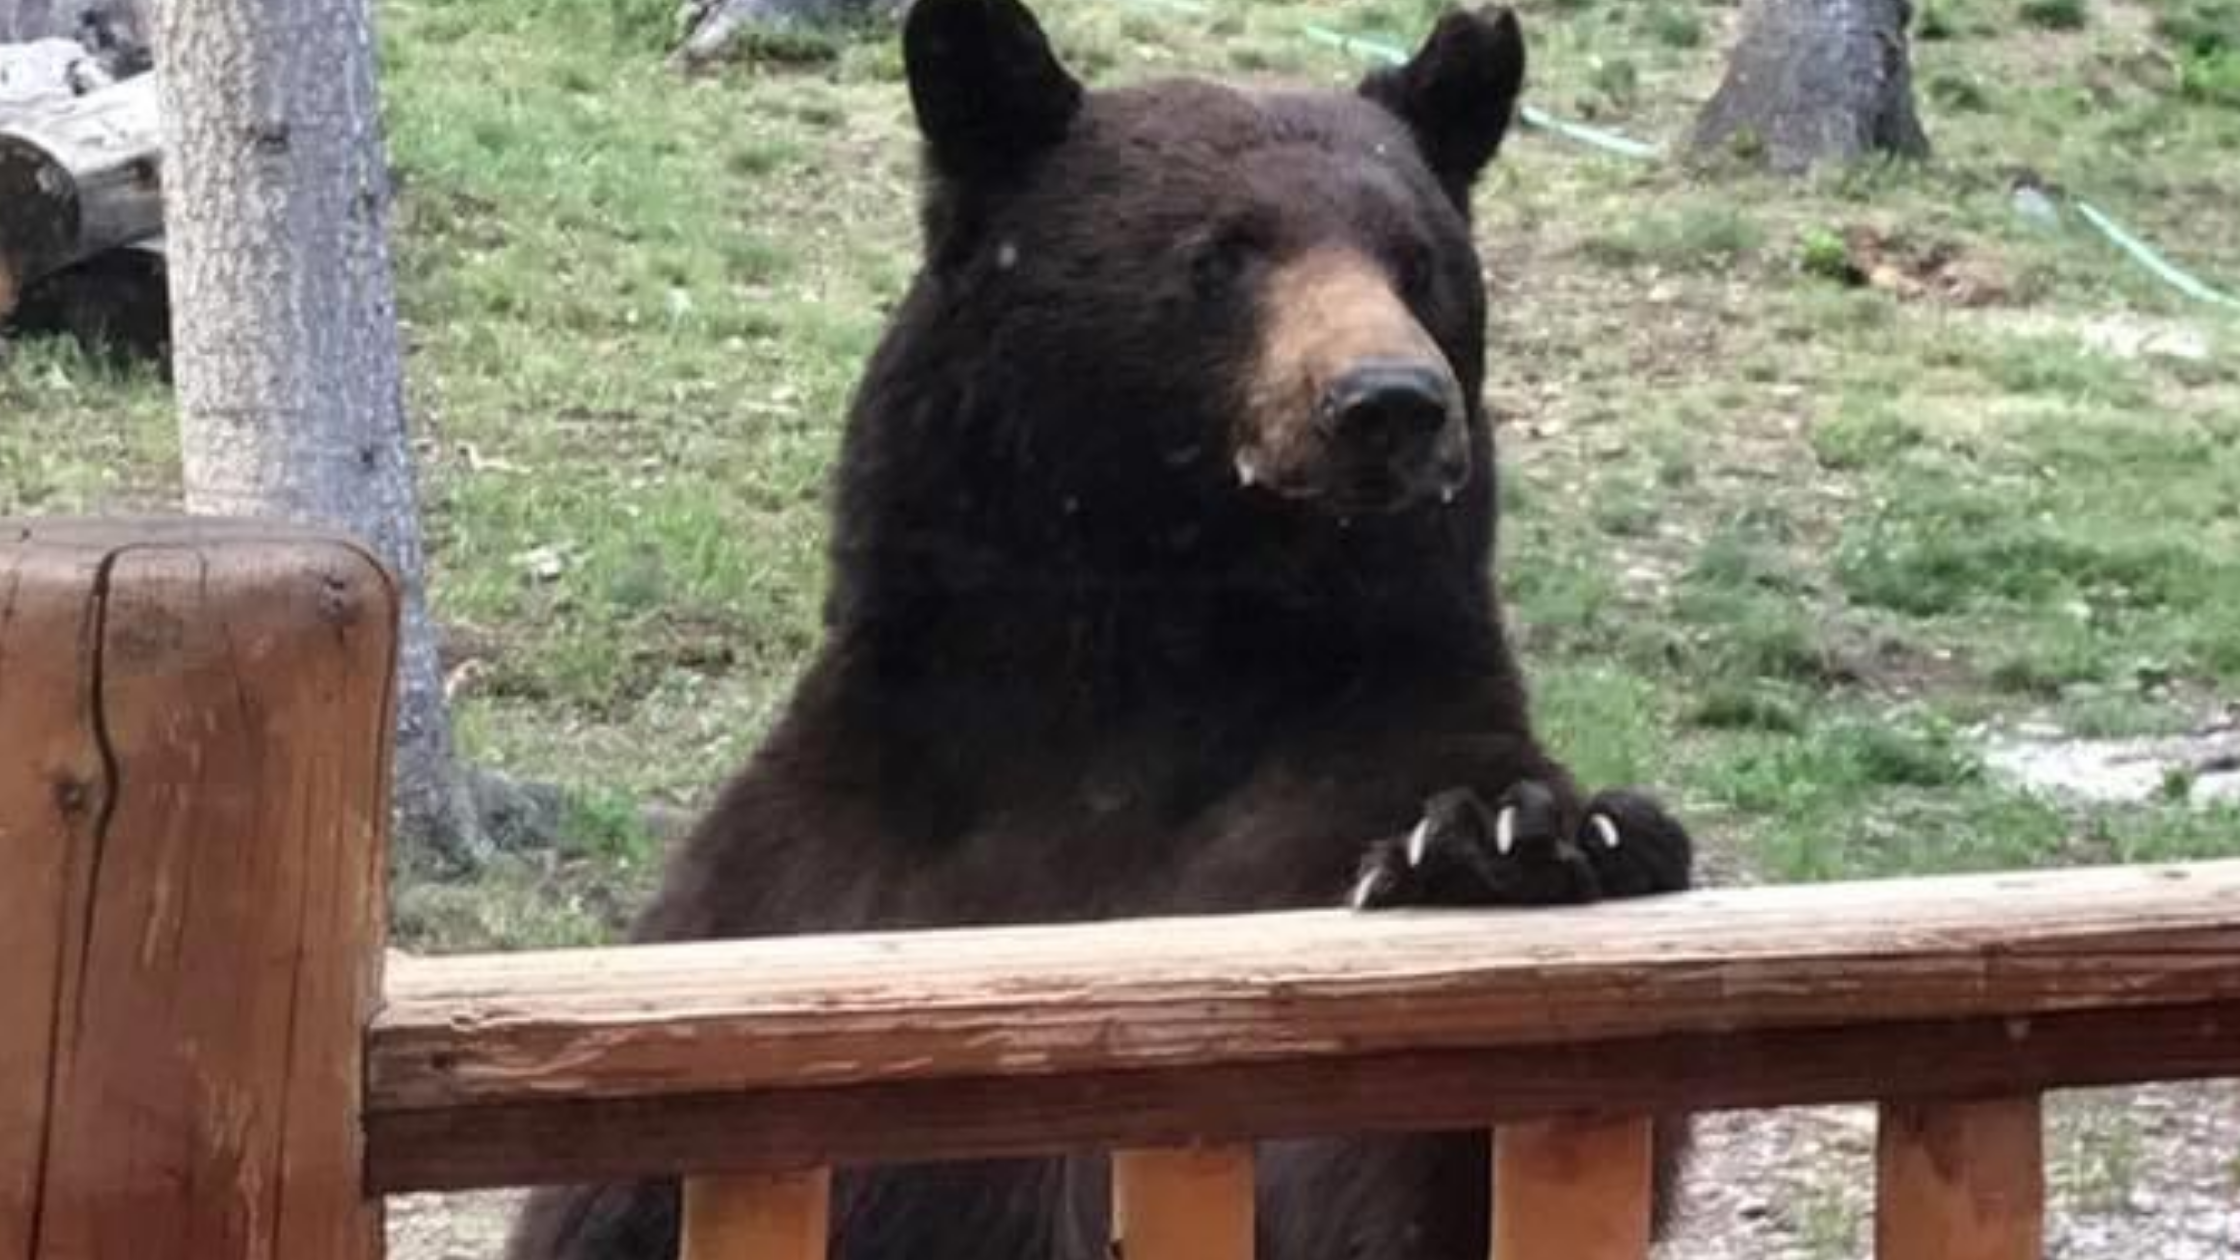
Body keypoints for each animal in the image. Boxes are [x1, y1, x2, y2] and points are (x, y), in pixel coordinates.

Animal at [506, 1, 1697, 1257]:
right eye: (1222, 252)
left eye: (1418, 262)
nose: (1389, 402)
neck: (1147, 649)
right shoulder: (820, 878)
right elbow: (636, 1194)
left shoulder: (1340, 771)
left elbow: (1399, 1172)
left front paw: (1511, 840)